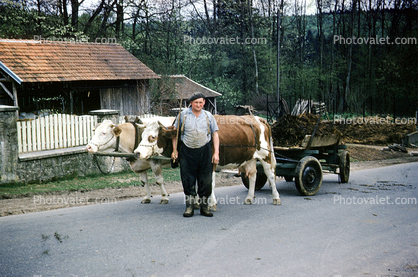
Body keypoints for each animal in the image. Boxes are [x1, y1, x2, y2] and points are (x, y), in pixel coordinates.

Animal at [132, 115, 280, 209]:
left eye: (153, 137)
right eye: (142, 135)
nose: (137, 152)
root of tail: (258, 118)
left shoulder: (211, 162)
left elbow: (210, 183)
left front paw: (211, 203)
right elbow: (196, 183)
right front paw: (197, 203)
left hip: (265, 155)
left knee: (270, 175)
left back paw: (276, 198)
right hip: (250, 158)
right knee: (253, 175)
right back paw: (249, 198)